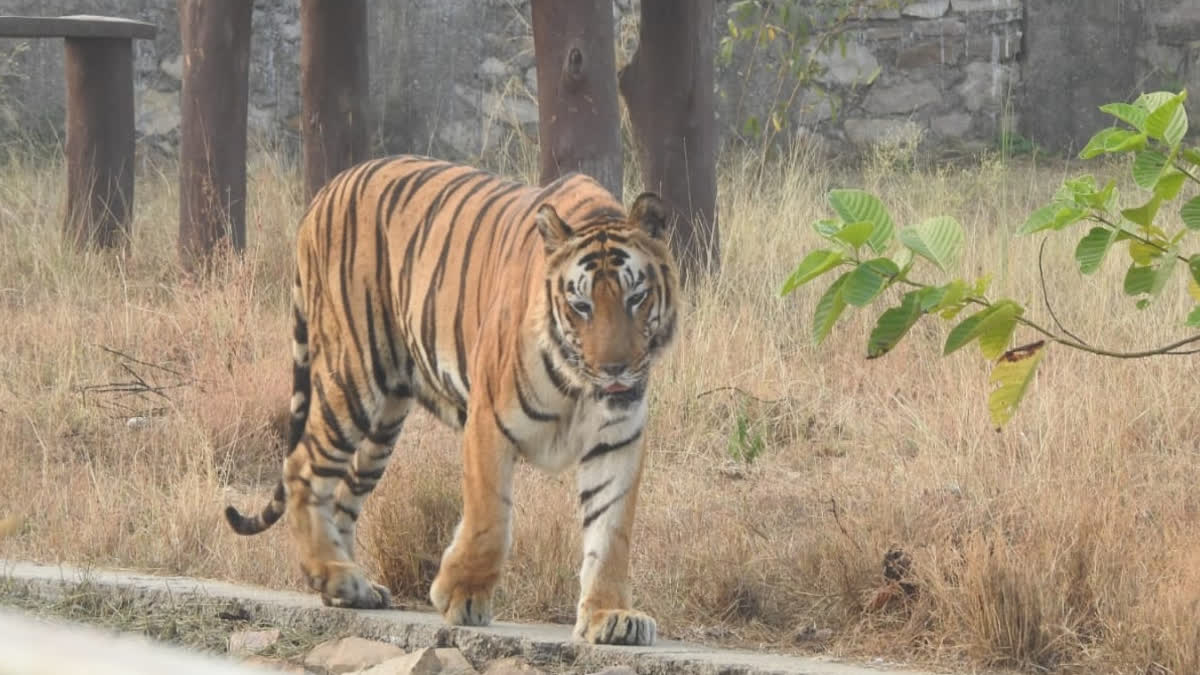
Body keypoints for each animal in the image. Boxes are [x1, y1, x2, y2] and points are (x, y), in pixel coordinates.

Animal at [225, 154, 676, 643]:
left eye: (636, 297)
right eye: (581, 306)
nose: (615, 369)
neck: (579, 386)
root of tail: (326, 190)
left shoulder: (617, 438)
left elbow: (610, 531)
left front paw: (611, 615)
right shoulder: (490, 419)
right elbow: (490, 517)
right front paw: (462, 596)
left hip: (384, 420)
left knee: (342, 493)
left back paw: (353, 588)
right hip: (352, 374)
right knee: (303, 468)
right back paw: (334, 574)